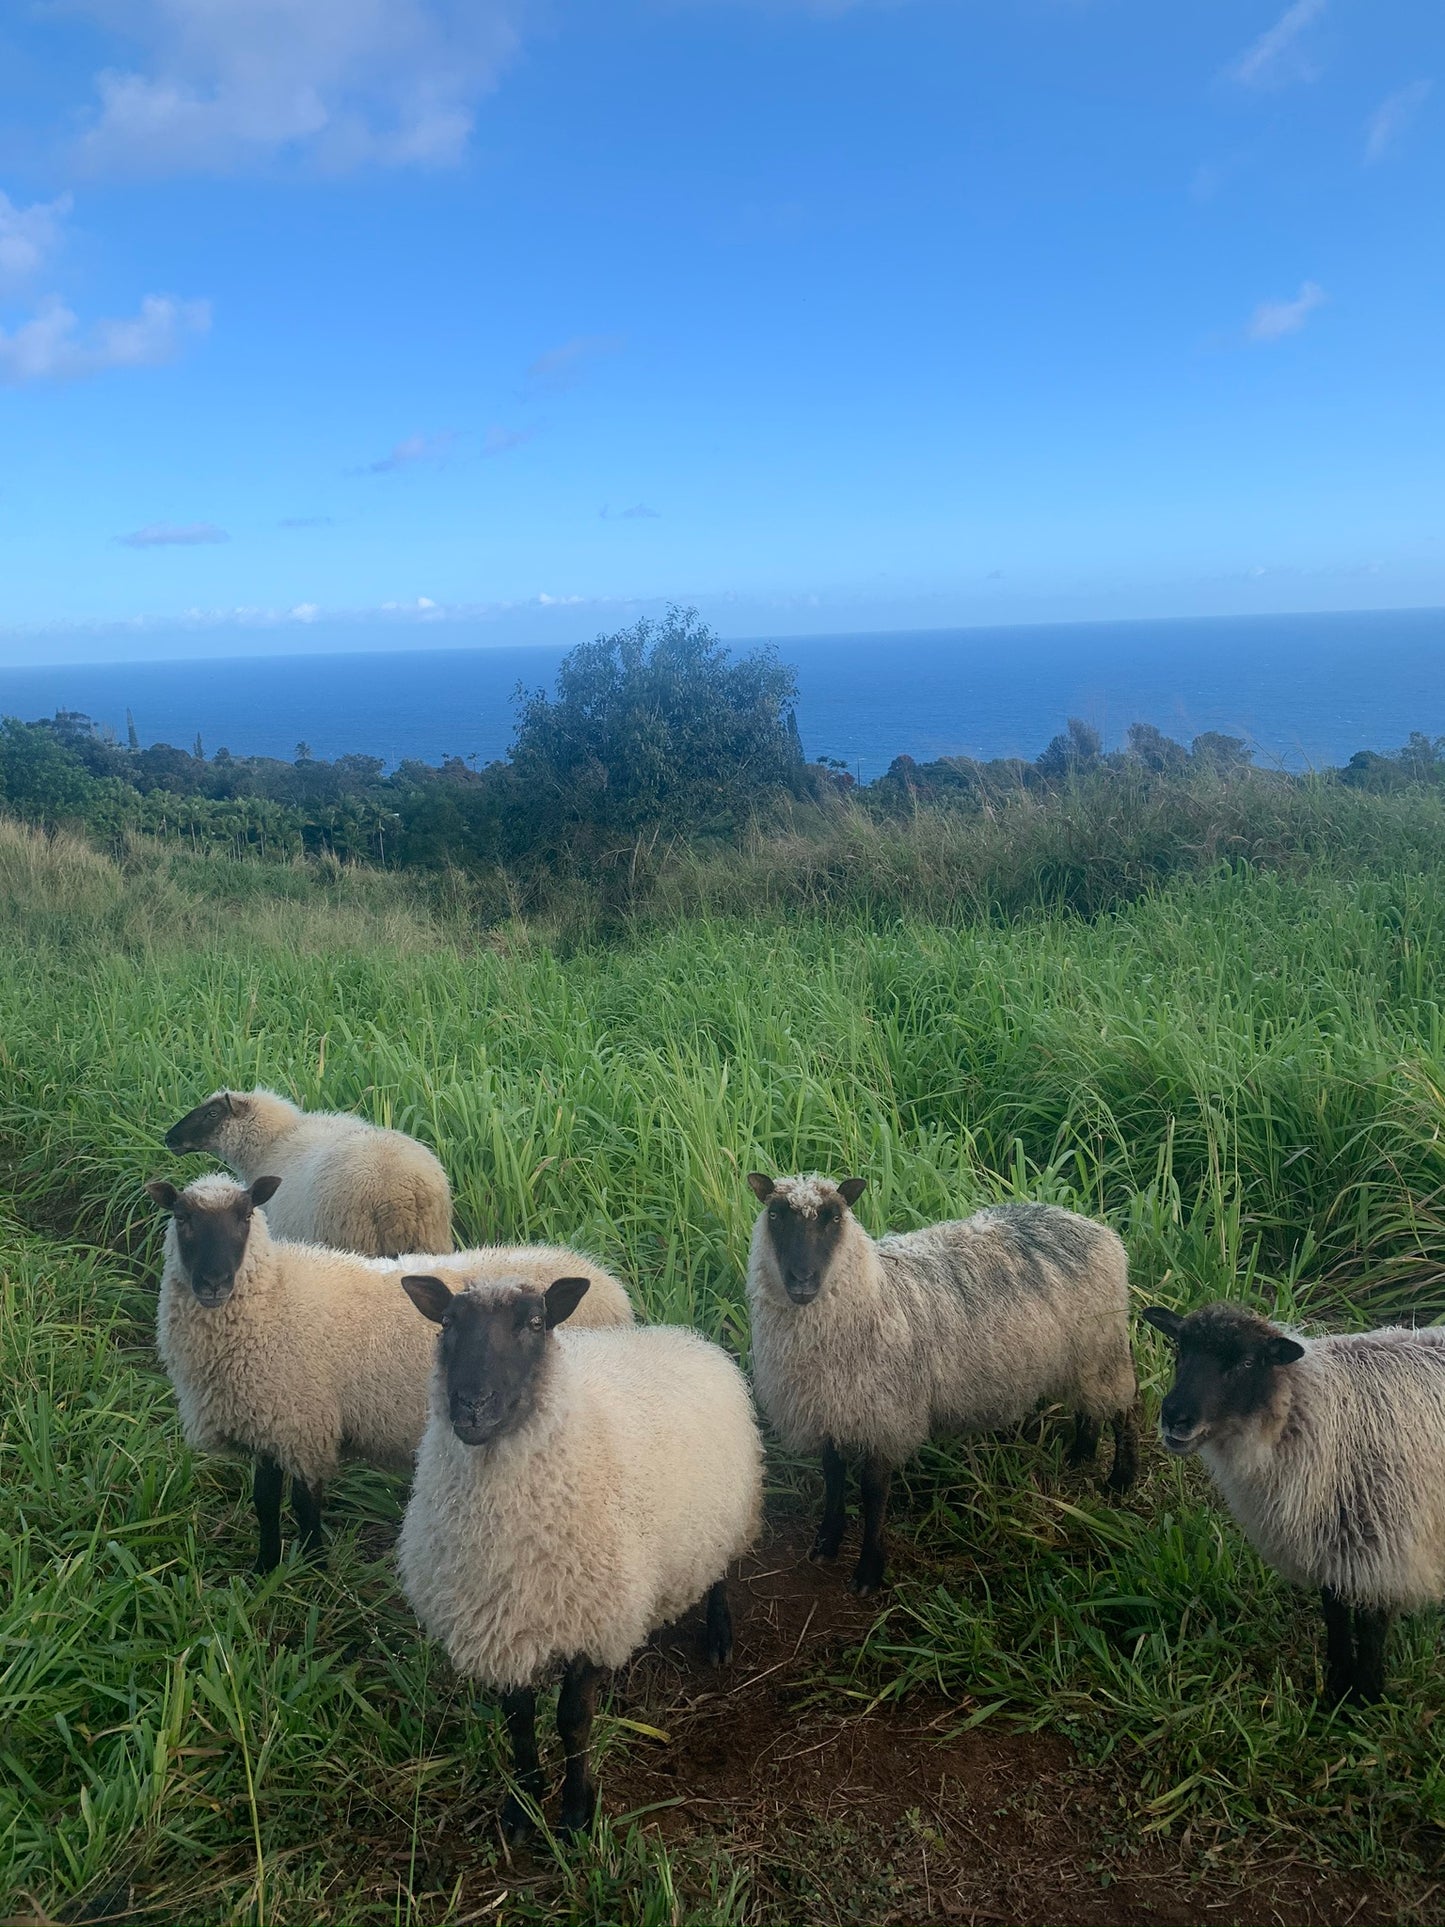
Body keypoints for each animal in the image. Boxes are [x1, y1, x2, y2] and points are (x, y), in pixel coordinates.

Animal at [145, 1172, 633, 1571]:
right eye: (182, 1217)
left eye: (245, 1216)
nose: (214, 1283)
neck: (273, 1294)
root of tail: (606, 1281)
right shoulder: (269, 1422)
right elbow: (264, 1502)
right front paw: (265, 1570)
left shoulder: (304, 1426)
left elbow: (304, 1505)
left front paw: (313, 1569)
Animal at [396, 1272, 763, 1840]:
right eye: (448, 1323)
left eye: (536, 1322)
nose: (472, 1405)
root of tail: (680, 1335)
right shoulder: (502, 1628)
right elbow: (519, 1721)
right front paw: (523, 1806)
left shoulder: (592, 1620)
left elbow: (573, 1721)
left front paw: (574, 1813)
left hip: (726, 1517)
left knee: (719, 1574)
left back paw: (719, 1635)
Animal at [746, 1173, 1139, 1595]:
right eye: (775, 1215)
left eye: (835, 1217)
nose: (802, 1282)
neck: (871, 1293)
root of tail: (1088, 1223)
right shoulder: (829, 1409)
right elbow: (833, 1477)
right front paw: (826, 1543)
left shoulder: (884, 1417)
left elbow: (873, 1491)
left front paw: (869, 1571)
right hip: (1080, 1356)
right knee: (1090, 1406)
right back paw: (1081, 1455)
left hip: (1103, 1343)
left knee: (1126, 1407)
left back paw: (1121, 1479)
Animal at [1142, 1300, 1445, 1704]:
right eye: (1180, 1350)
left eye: (1247, 1363)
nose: (1175, 1417)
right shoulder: (1331, 1543)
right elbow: (1335, 1613)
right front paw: (1335, 1687)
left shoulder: (1382, 1548)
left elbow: (1371, 1628)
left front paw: (1364, 1697)